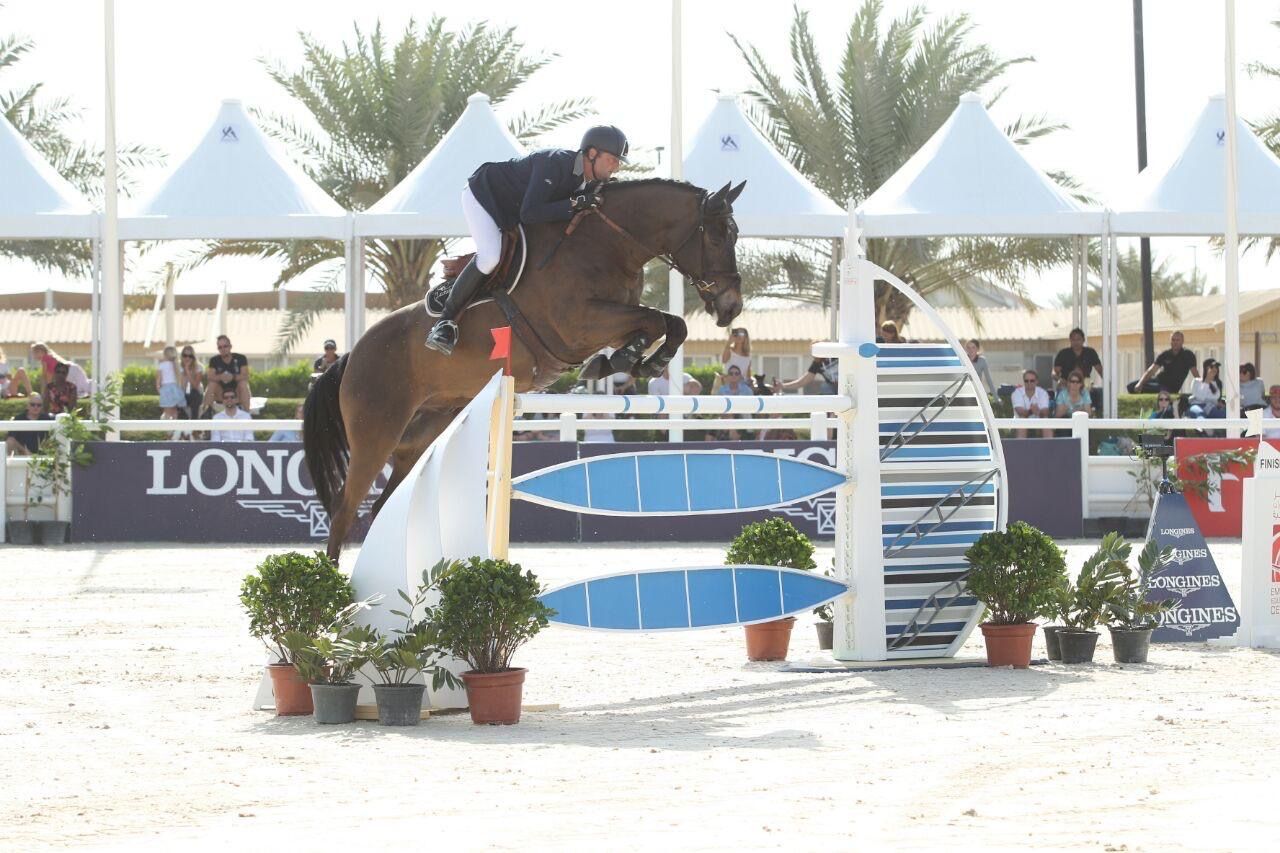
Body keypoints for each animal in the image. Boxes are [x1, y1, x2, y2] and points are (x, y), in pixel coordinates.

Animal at [305, 178, 746, 561]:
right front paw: (622, 360)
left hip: (425, 428)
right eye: (718, 235)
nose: (732, 308)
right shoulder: (580, 325)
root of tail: (352, 355)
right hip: (375, 433)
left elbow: (671, 323)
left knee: (386, 501)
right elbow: (656, 320)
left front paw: (634, 360)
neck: (607, 243)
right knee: (345, 508)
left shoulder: (613, 316)